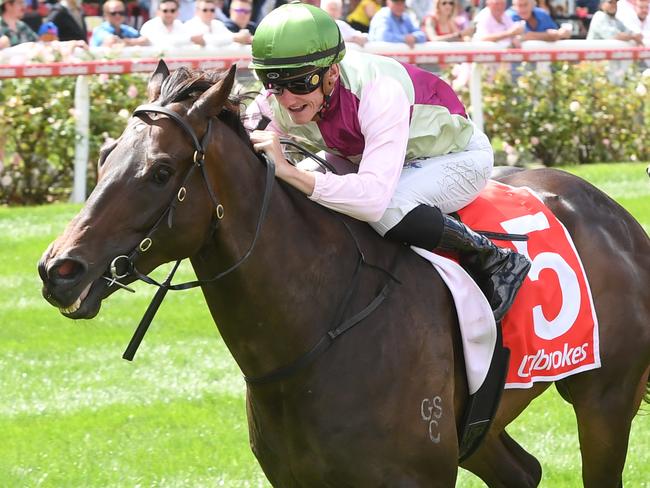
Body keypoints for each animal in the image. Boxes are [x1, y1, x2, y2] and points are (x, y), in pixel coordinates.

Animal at [39, 65, 648, 488]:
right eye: (105, 156)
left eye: (161, 172)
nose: (58, 269)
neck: (318, 330)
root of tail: (619, 219)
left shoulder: (415, 476)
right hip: (481, 425)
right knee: (523, 471)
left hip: (605, 398)